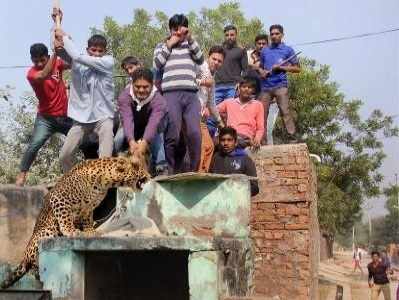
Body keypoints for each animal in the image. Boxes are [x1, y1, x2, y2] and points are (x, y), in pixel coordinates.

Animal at [0, 155, 150, 288]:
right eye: (137, 166)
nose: (149, 176)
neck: (105, 182)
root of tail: (23, 256)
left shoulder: (88, 208)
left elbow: (87, 220)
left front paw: (90, 232)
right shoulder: (58, 198)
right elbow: (65, 217)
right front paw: (71, 231)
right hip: (45, 233)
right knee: (31, 265)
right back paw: (38, 269)